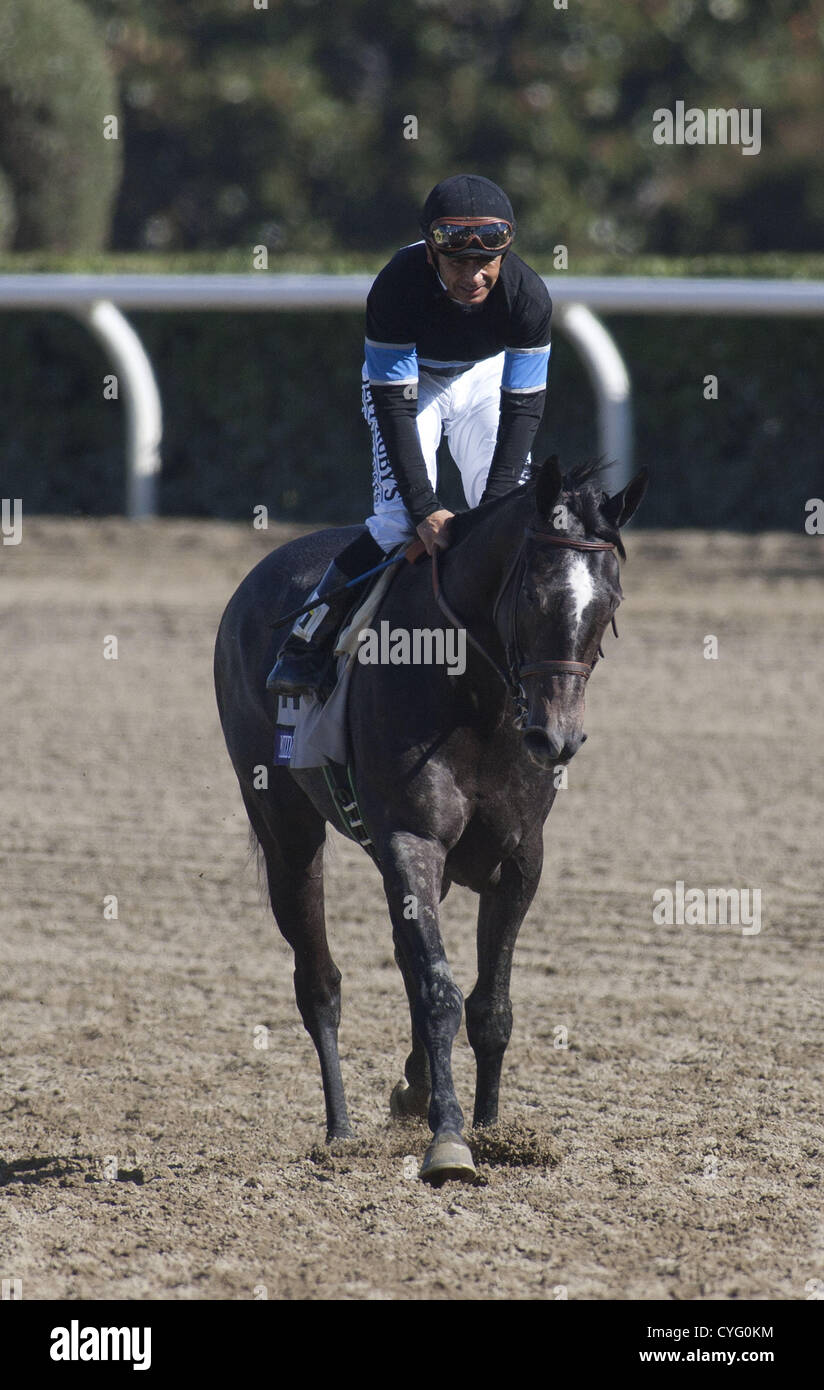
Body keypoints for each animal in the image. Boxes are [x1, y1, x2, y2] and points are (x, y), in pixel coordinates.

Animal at [213, 455, 650, 1184]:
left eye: (608, 605)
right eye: (534, 596)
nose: (556, 738)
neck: (477, 699)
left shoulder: (519, 859)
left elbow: (489, 1004)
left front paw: (494, 1129)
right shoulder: (410, 841)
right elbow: (440, 995)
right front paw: (449, 1138)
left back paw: (412, 1090)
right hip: (285, 827)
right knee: (319, 981)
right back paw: (341, 1132)